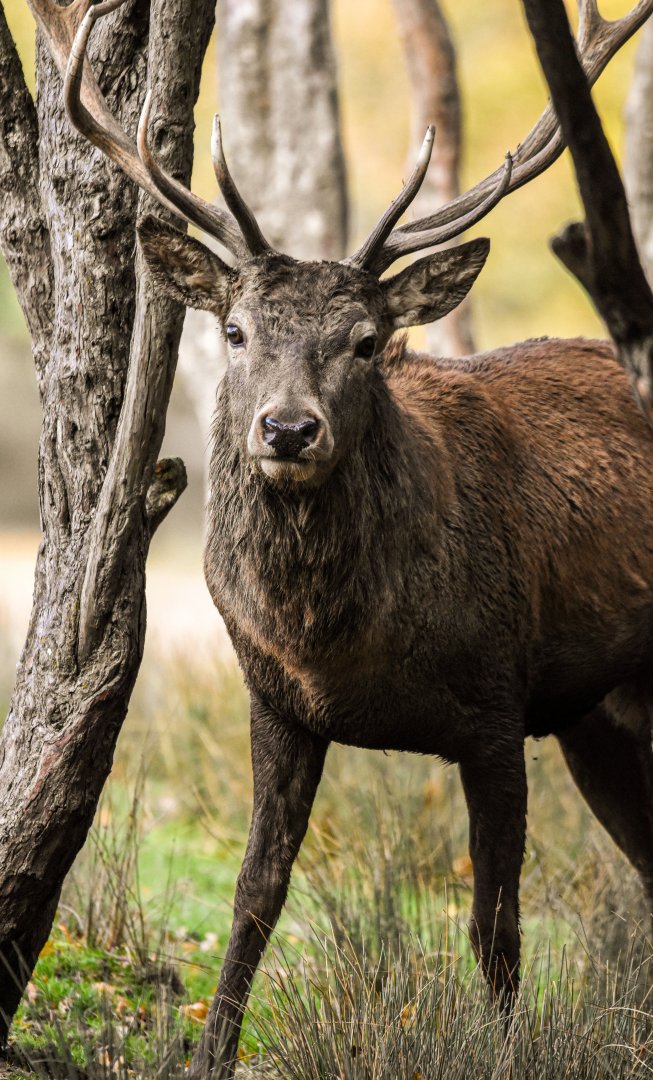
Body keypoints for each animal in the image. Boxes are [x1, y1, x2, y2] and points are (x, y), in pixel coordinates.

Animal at [28, 0, 653, 1075]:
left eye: (365, 341)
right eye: (235, 330)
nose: (287, 429)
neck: (344, 649)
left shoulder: (498, 705)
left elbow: (495, 924)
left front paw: (505, 1052)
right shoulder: (274, 699)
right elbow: (253, 896)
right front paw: (208, 1054)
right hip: (597, 714)